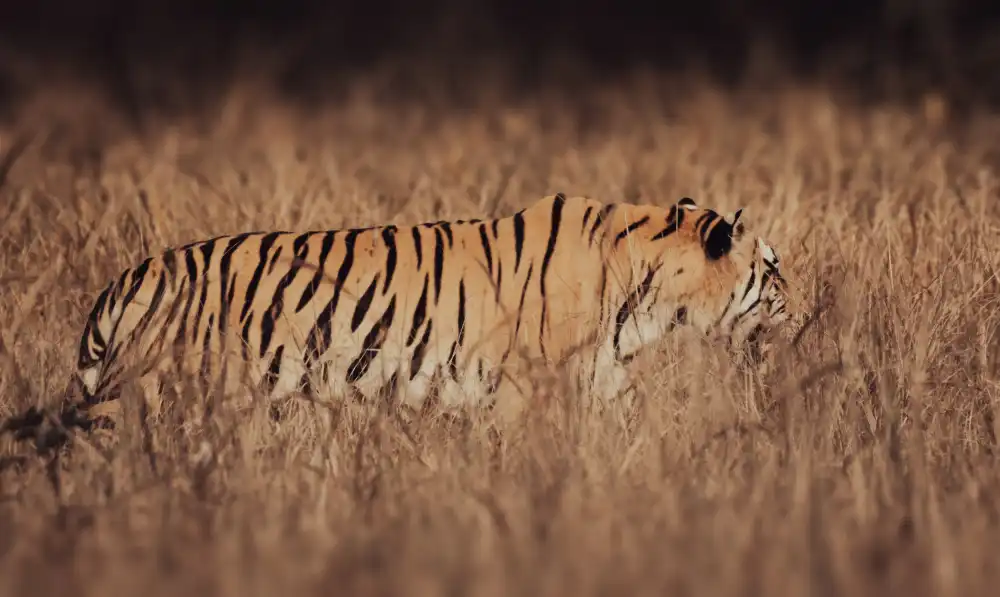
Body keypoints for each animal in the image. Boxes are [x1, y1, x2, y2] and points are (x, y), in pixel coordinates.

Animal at [6, 193, 792, 446]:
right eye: (775, 270)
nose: (803, 309)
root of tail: (127, 277)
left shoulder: (599, 376)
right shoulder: (525, 386)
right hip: (158, 396)